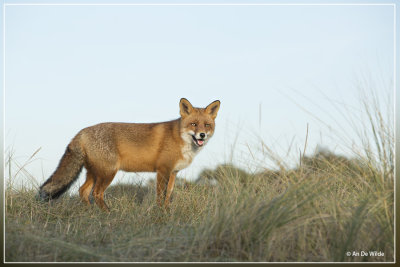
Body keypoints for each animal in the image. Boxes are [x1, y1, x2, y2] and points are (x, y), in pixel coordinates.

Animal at [38, 98, 220, 211]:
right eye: (194, 124)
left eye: (207, 125)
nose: (202, 135)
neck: (179, 137)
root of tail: (82, 132)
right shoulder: (163, 170)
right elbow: (160, 196)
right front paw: (160, 214)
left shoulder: (173, 172)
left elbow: (168, 196)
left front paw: (168, 213)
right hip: (108, 172)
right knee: (96, 193)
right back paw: (108, 214)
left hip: (95, 173)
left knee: (83, 191)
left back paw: (91, 213)